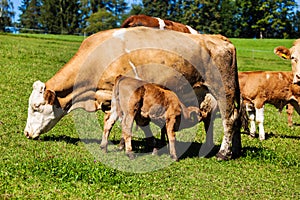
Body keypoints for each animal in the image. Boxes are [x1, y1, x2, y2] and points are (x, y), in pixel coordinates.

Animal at [24, 27, 241, 161]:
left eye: (36, 107)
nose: (26, 133)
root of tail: (218, 38)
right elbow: (115, 120)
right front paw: (120, 145)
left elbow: (125, 121)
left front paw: (125, 146)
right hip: (207, 94)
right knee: (219, 119)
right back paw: (231, 151)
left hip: (223, 90)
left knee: (229, 119)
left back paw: (223, 153)